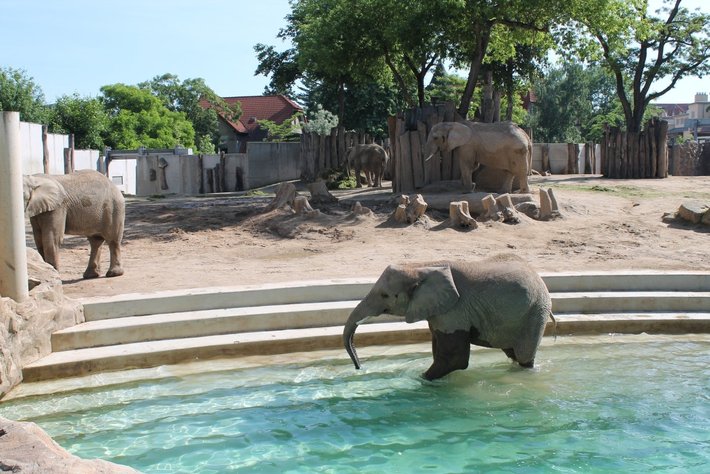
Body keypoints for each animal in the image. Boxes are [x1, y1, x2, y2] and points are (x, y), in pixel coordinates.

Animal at [343, 254, 553, 380]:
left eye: (385, 295)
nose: (359, 368)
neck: (420, 266)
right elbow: (439, 347)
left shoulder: (456, 309)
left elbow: (455, 359)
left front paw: (420, 379)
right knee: (512, 353)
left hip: (536, 312)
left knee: (524, 355)